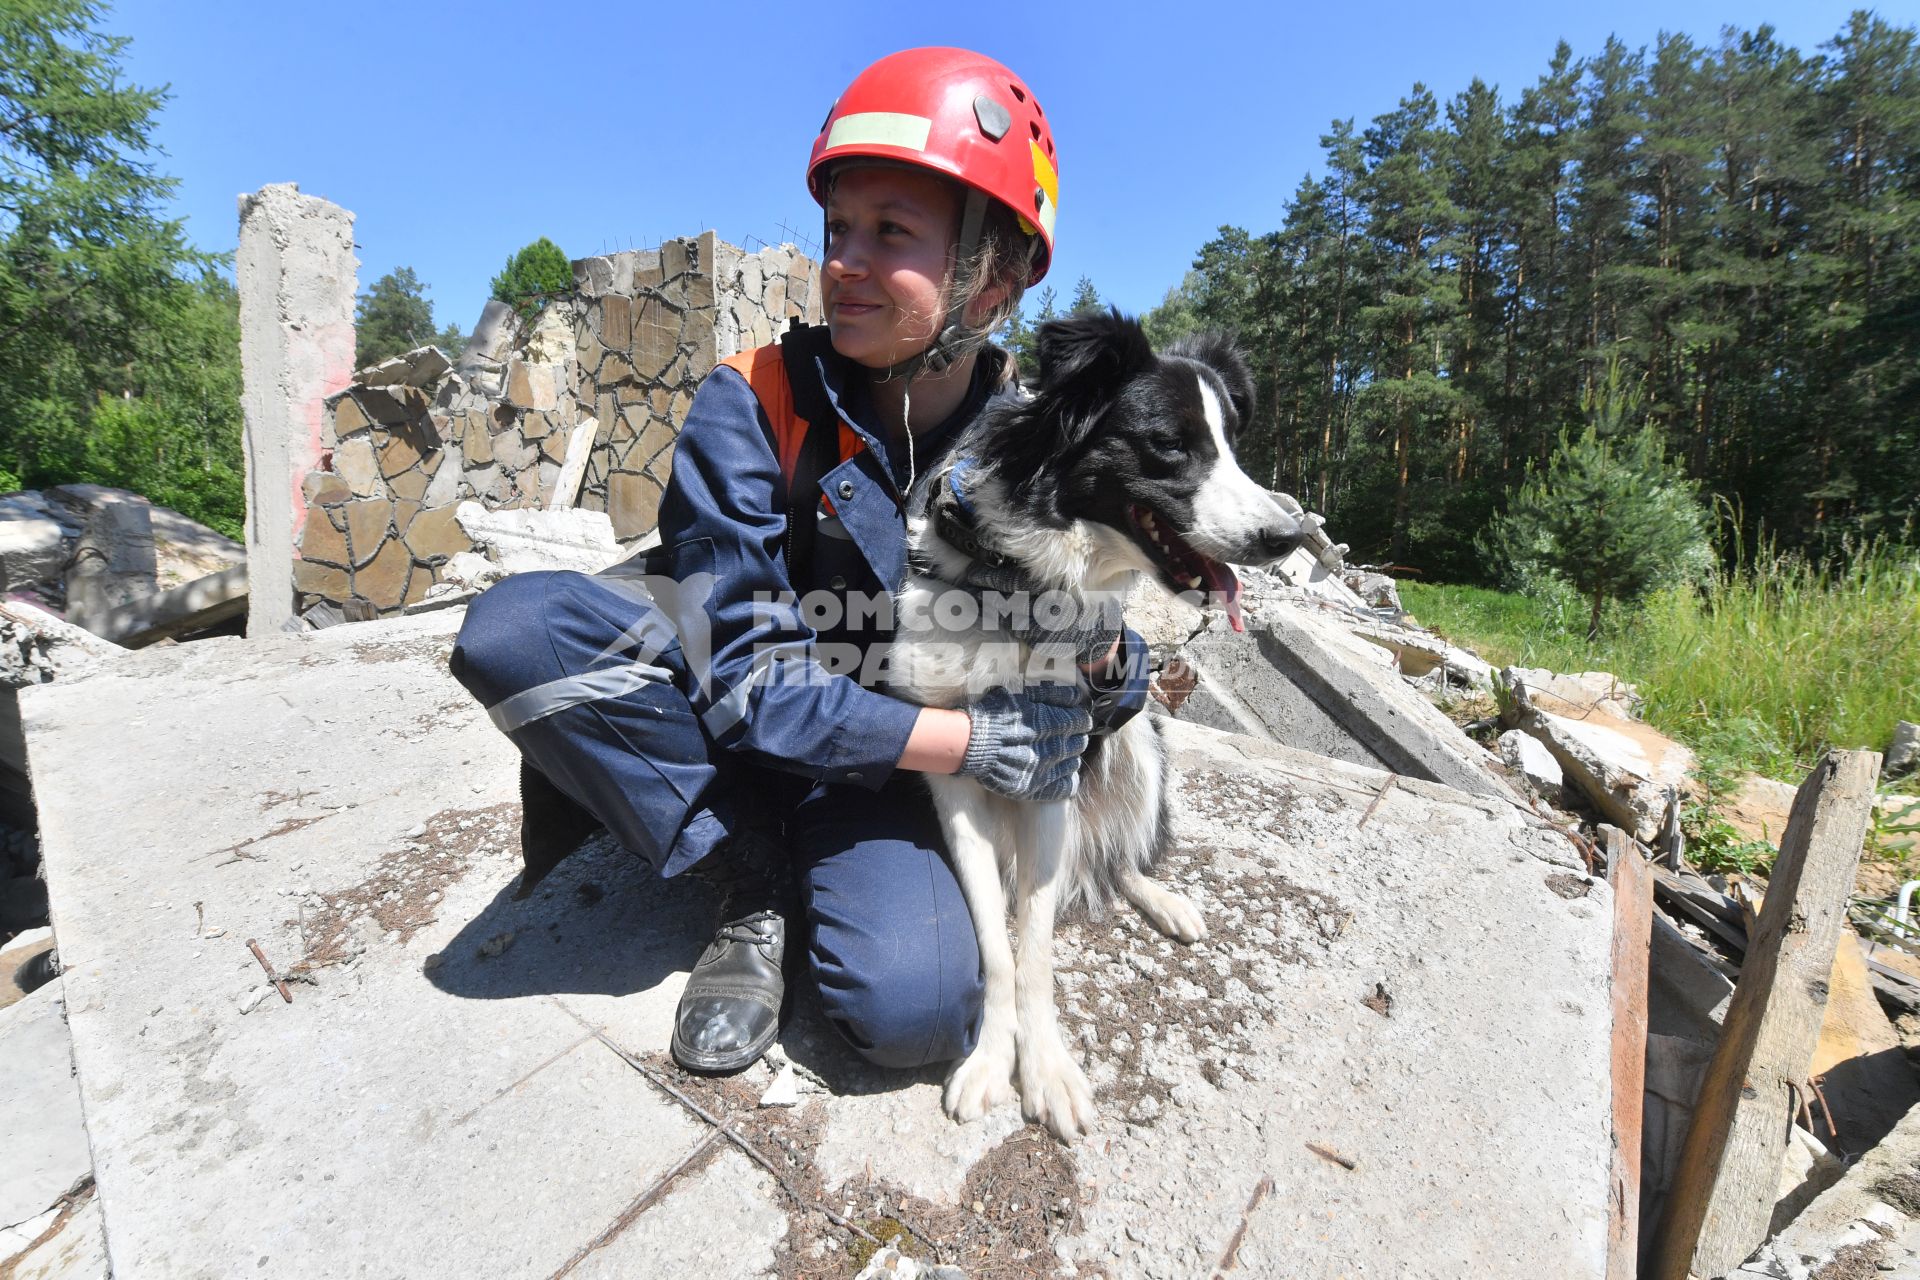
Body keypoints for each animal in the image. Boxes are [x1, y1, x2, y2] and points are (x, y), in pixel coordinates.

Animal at [887, 307, 1305, 1143]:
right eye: (1171, 444)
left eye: (1233, 446)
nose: (1290, 538)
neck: (1016, 586)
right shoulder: (960, 771)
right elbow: (1000, 940)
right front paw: (993, 1061)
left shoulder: (1058, 760)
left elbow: (1036, 947)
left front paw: (1046, 1068)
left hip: (1140, 741)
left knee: (1123, 853)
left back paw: (1165, 899)